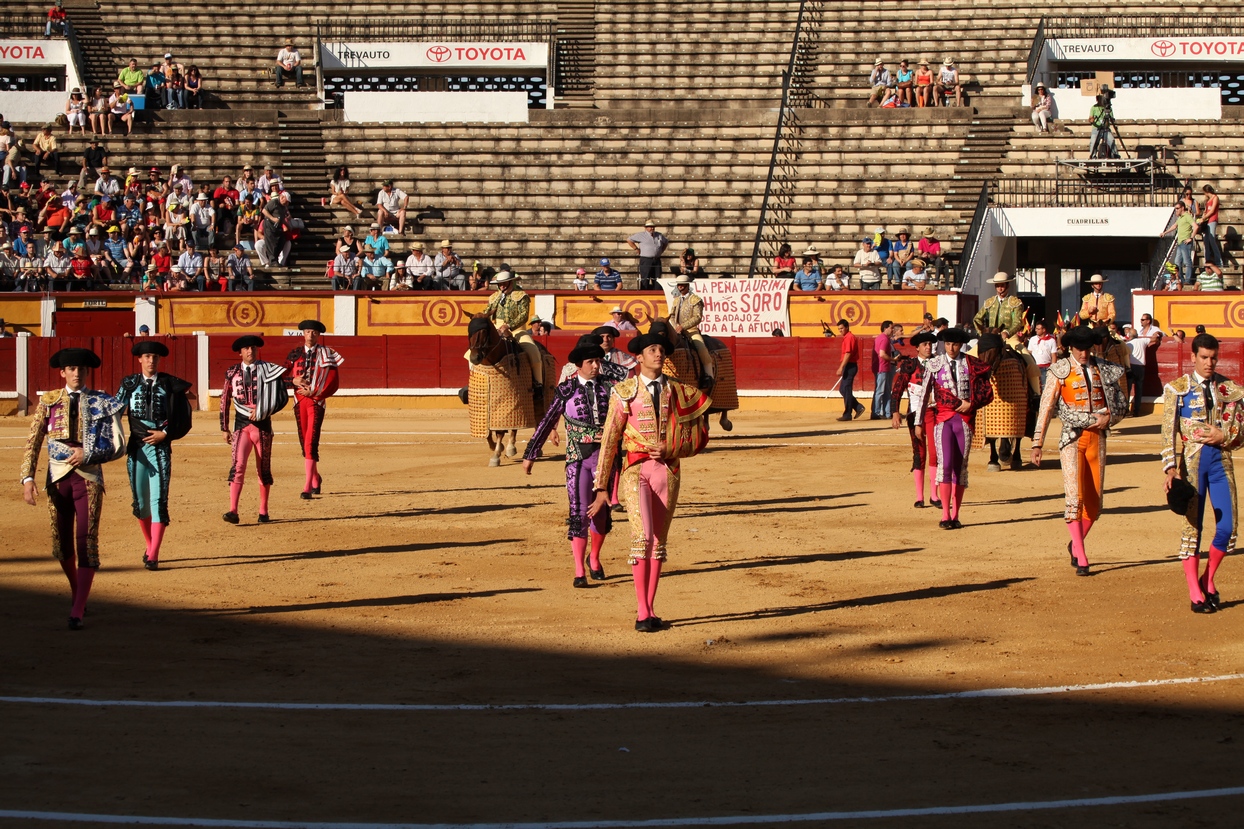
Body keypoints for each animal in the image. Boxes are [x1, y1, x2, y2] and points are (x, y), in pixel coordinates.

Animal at [465, 314, 557, 460]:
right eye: (469, 331)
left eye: (484, 331)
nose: (474, 357)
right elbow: (488, 430)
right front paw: (495, 447)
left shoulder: (512, 400)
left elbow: (502, 431)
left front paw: (498, 453)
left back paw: (513, 448)